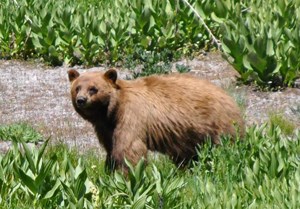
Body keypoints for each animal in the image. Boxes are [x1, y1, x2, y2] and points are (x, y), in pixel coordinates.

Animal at [67, 68, 244, 171]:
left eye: (93, 89)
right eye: (77, 88)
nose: (81, 100)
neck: (111, 111)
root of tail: (229, 97)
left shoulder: (131, 115)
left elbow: (130, 149)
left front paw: (127, 173)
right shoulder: (106, 128)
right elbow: (111, 149)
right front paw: (109, 170)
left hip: (218, 122)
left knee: (226, 144)